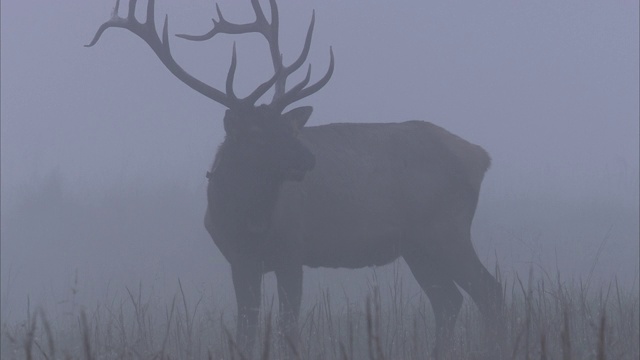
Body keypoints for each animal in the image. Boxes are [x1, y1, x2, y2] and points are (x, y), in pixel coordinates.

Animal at [86, 0, 504, 354]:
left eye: (288, 127)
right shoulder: (238, 259)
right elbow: (247, 328)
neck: (243, 219)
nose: (309, 158)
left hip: (445, 229)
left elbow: (288, 326)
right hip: (417, 246)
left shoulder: (292, 250)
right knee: (449, 301)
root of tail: (480, 157)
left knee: (488, 291)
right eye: (258, 133)